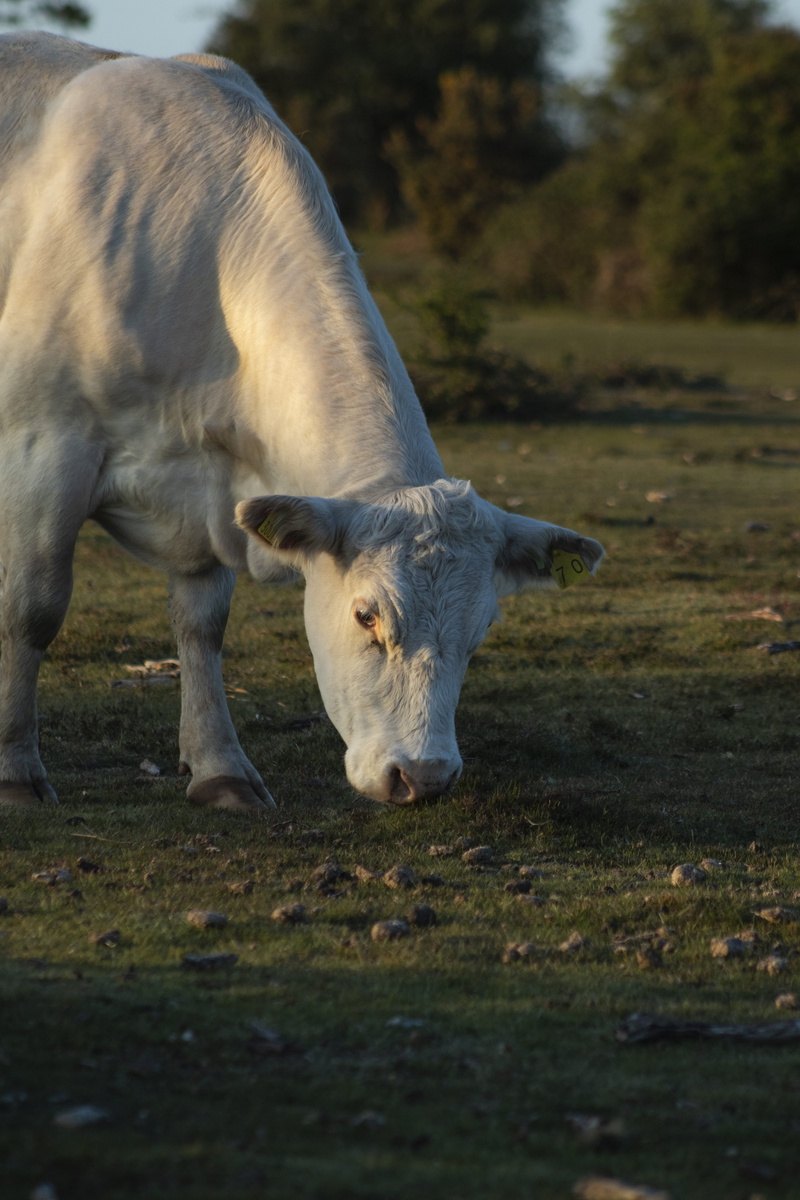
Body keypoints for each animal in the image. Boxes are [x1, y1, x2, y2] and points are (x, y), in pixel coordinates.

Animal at [0, 32, 603, 812]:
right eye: (366, 616)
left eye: (483, 630)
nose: (424, 776)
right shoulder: (46, 444)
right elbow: (33, 609)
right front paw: (16, 772)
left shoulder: (213, 486)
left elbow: (201, 626)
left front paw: (220, 767)